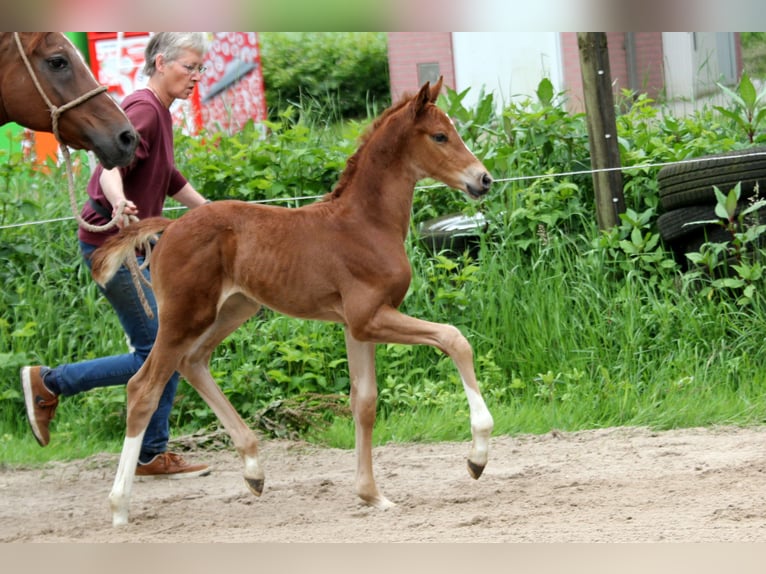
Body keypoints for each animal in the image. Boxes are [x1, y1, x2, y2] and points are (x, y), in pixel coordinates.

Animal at [91, 79, 498, 528]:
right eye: (440, 136)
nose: (484, 179)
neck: (366, 224)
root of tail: (170, 226)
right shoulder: (368, 318)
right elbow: (454, 339)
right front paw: (477, 457)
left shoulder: (357, 326)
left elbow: (364, 402)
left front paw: (371, 495)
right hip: (184, 316)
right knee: (143, 388)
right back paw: (119, 507)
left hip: (234, 309)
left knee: (192, 362)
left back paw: (254, 470)